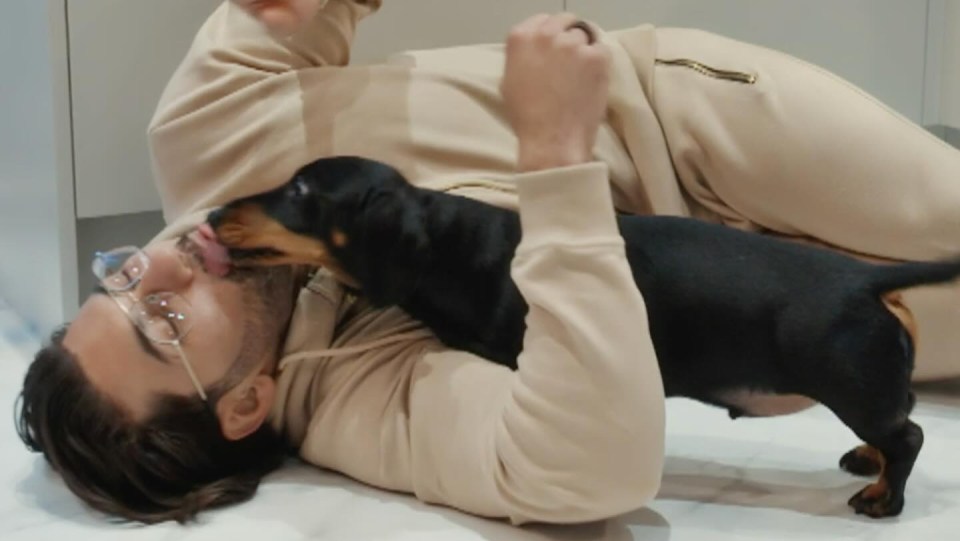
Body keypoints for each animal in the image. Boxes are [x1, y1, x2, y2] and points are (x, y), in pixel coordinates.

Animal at [204, 155, 960, 516]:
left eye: (302, 192)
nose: (212, 213)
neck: (453, 248)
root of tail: (863, 277)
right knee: (896, 426)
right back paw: (867, 460)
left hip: (848, 383)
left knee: (911, 436)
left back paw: (883, 496)